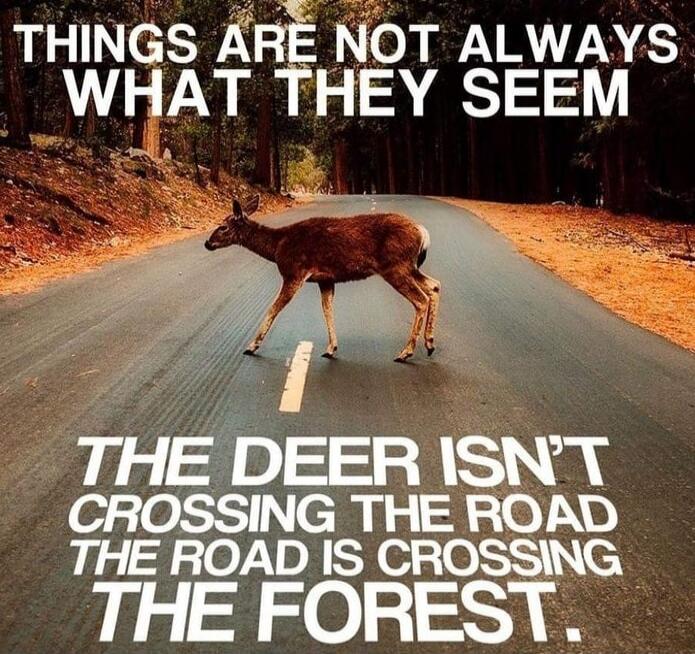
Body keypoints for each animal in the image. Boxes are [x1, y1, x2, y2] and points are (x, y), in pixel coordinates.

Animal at [204, 195, 441, 362]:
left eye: (223, 227)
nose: (207, 243)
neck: (277, 246)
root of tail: (423, 232)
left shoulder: (294, 272)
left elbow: (274, 308)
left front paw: (251, 346)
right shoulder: (325, 279)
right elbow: (327, 309)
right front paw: (331, 348)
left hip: (395, 266)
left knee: (421, 299)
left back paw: (406, 352)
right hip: (408, 266)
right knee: (434, 285)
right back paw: (429, 344)